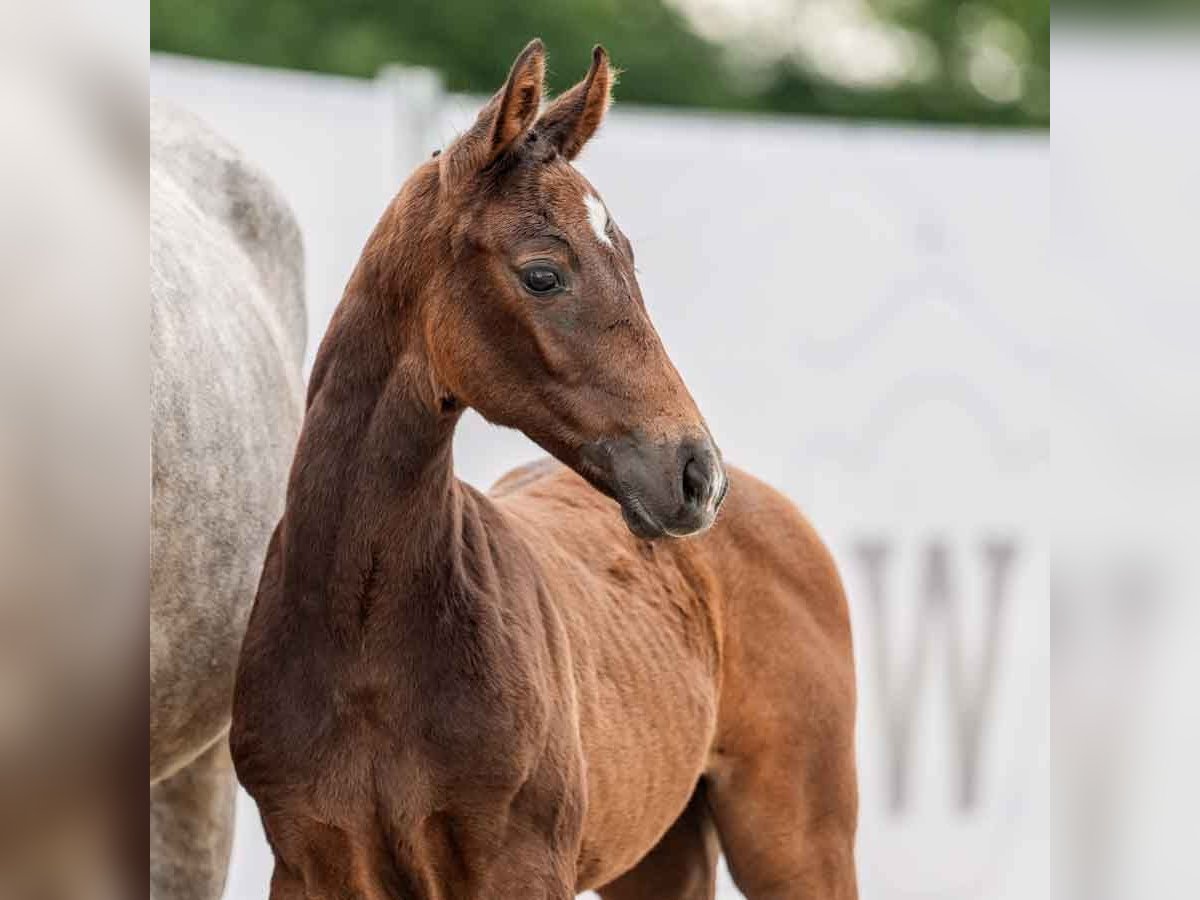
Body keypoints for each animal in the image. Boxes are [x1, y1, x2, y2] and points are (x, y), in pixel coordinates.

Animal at [231, 38, 854, 897]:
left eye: (628, 259)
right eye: (543, 274)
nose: (698, 474)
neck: (364, 637)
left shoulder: (521, 862)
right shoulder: (310, 862)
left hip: (798, 833)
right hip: (662, 850)